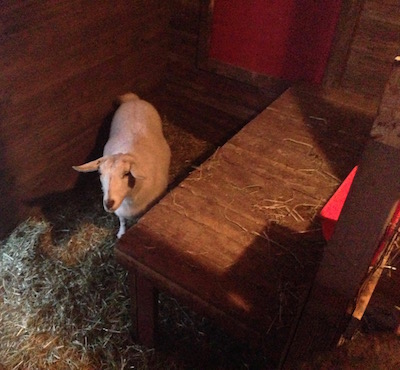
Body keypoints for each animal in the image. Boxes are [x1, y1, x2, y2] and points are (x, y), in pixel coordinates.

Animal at [73, 92, 170, 237]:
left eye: (126, 173)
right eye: (100, 173)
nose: (108, 203)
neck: (129, 198)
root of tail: (133, 101)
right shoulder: (120, 211)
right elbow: (123, 221)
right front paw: (121, 233)